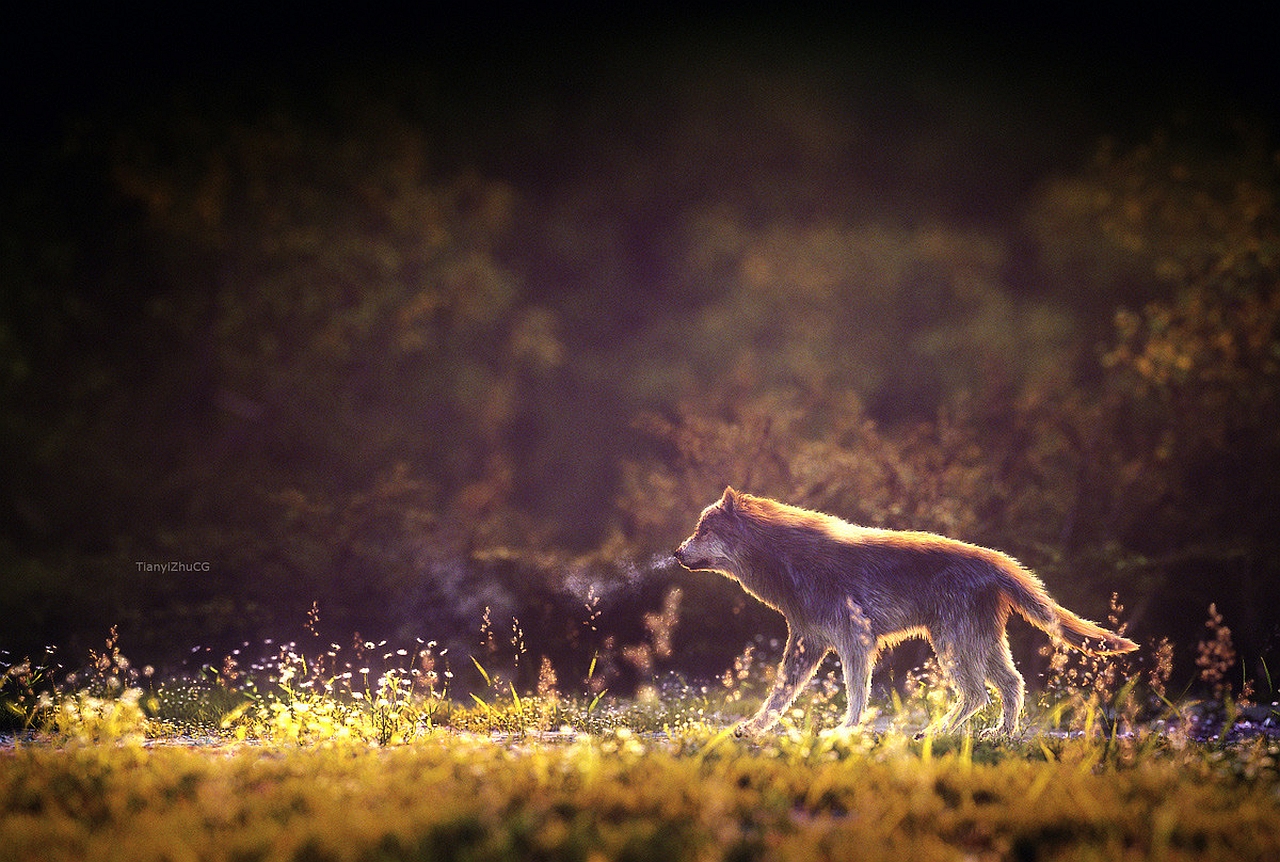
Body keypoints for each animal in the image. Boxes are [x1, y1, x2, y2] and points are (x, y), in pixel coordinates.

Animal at [675, 484, 1136, 732]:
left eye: (702, 529)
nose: (677, 553)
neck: (787, 560)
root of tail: (998, 559)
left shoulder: (855, 641)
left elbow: (856, 693)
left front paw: (844, 731)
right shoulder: (807, 642)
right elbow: (779, 696)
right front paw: (750, 730)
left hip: (953, 645)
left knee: (978, 693)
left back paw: (936, 732)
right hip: (980, 644)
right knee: (1012, 685)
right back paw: (997, 736)